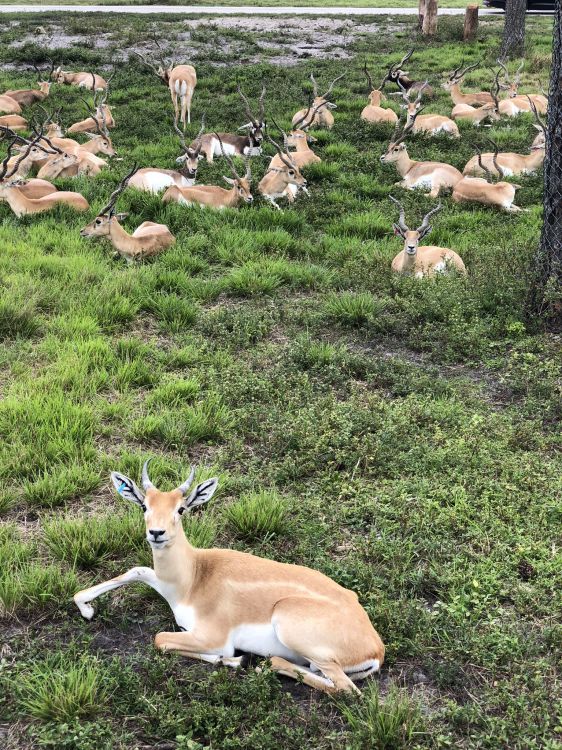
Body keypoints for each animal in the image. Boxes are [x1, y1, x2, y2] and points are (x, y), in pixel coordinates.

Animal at [74, 461, 385, 694]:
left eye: (181, 508)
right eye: (144, 506)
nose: (157, 533)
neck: (193, 579)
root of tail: (376, 647)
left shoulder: (212, 636)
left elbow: (160, 638)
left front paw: (232, 660)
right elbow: (137, 570)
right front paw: (86, 608)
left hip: (292, 626)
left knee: (346, 689)